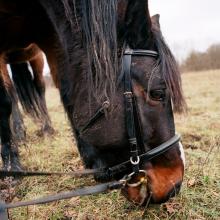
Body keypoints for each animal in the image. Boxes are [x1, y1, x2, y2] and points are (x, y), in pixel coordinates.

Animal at [0, 0, 186, 205]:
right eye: (158, 93)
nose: (175, 184)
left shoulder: (52, 38)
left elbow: (67, 90)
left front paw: (92, 159)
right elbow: (4, 102)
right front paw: (11, 170)